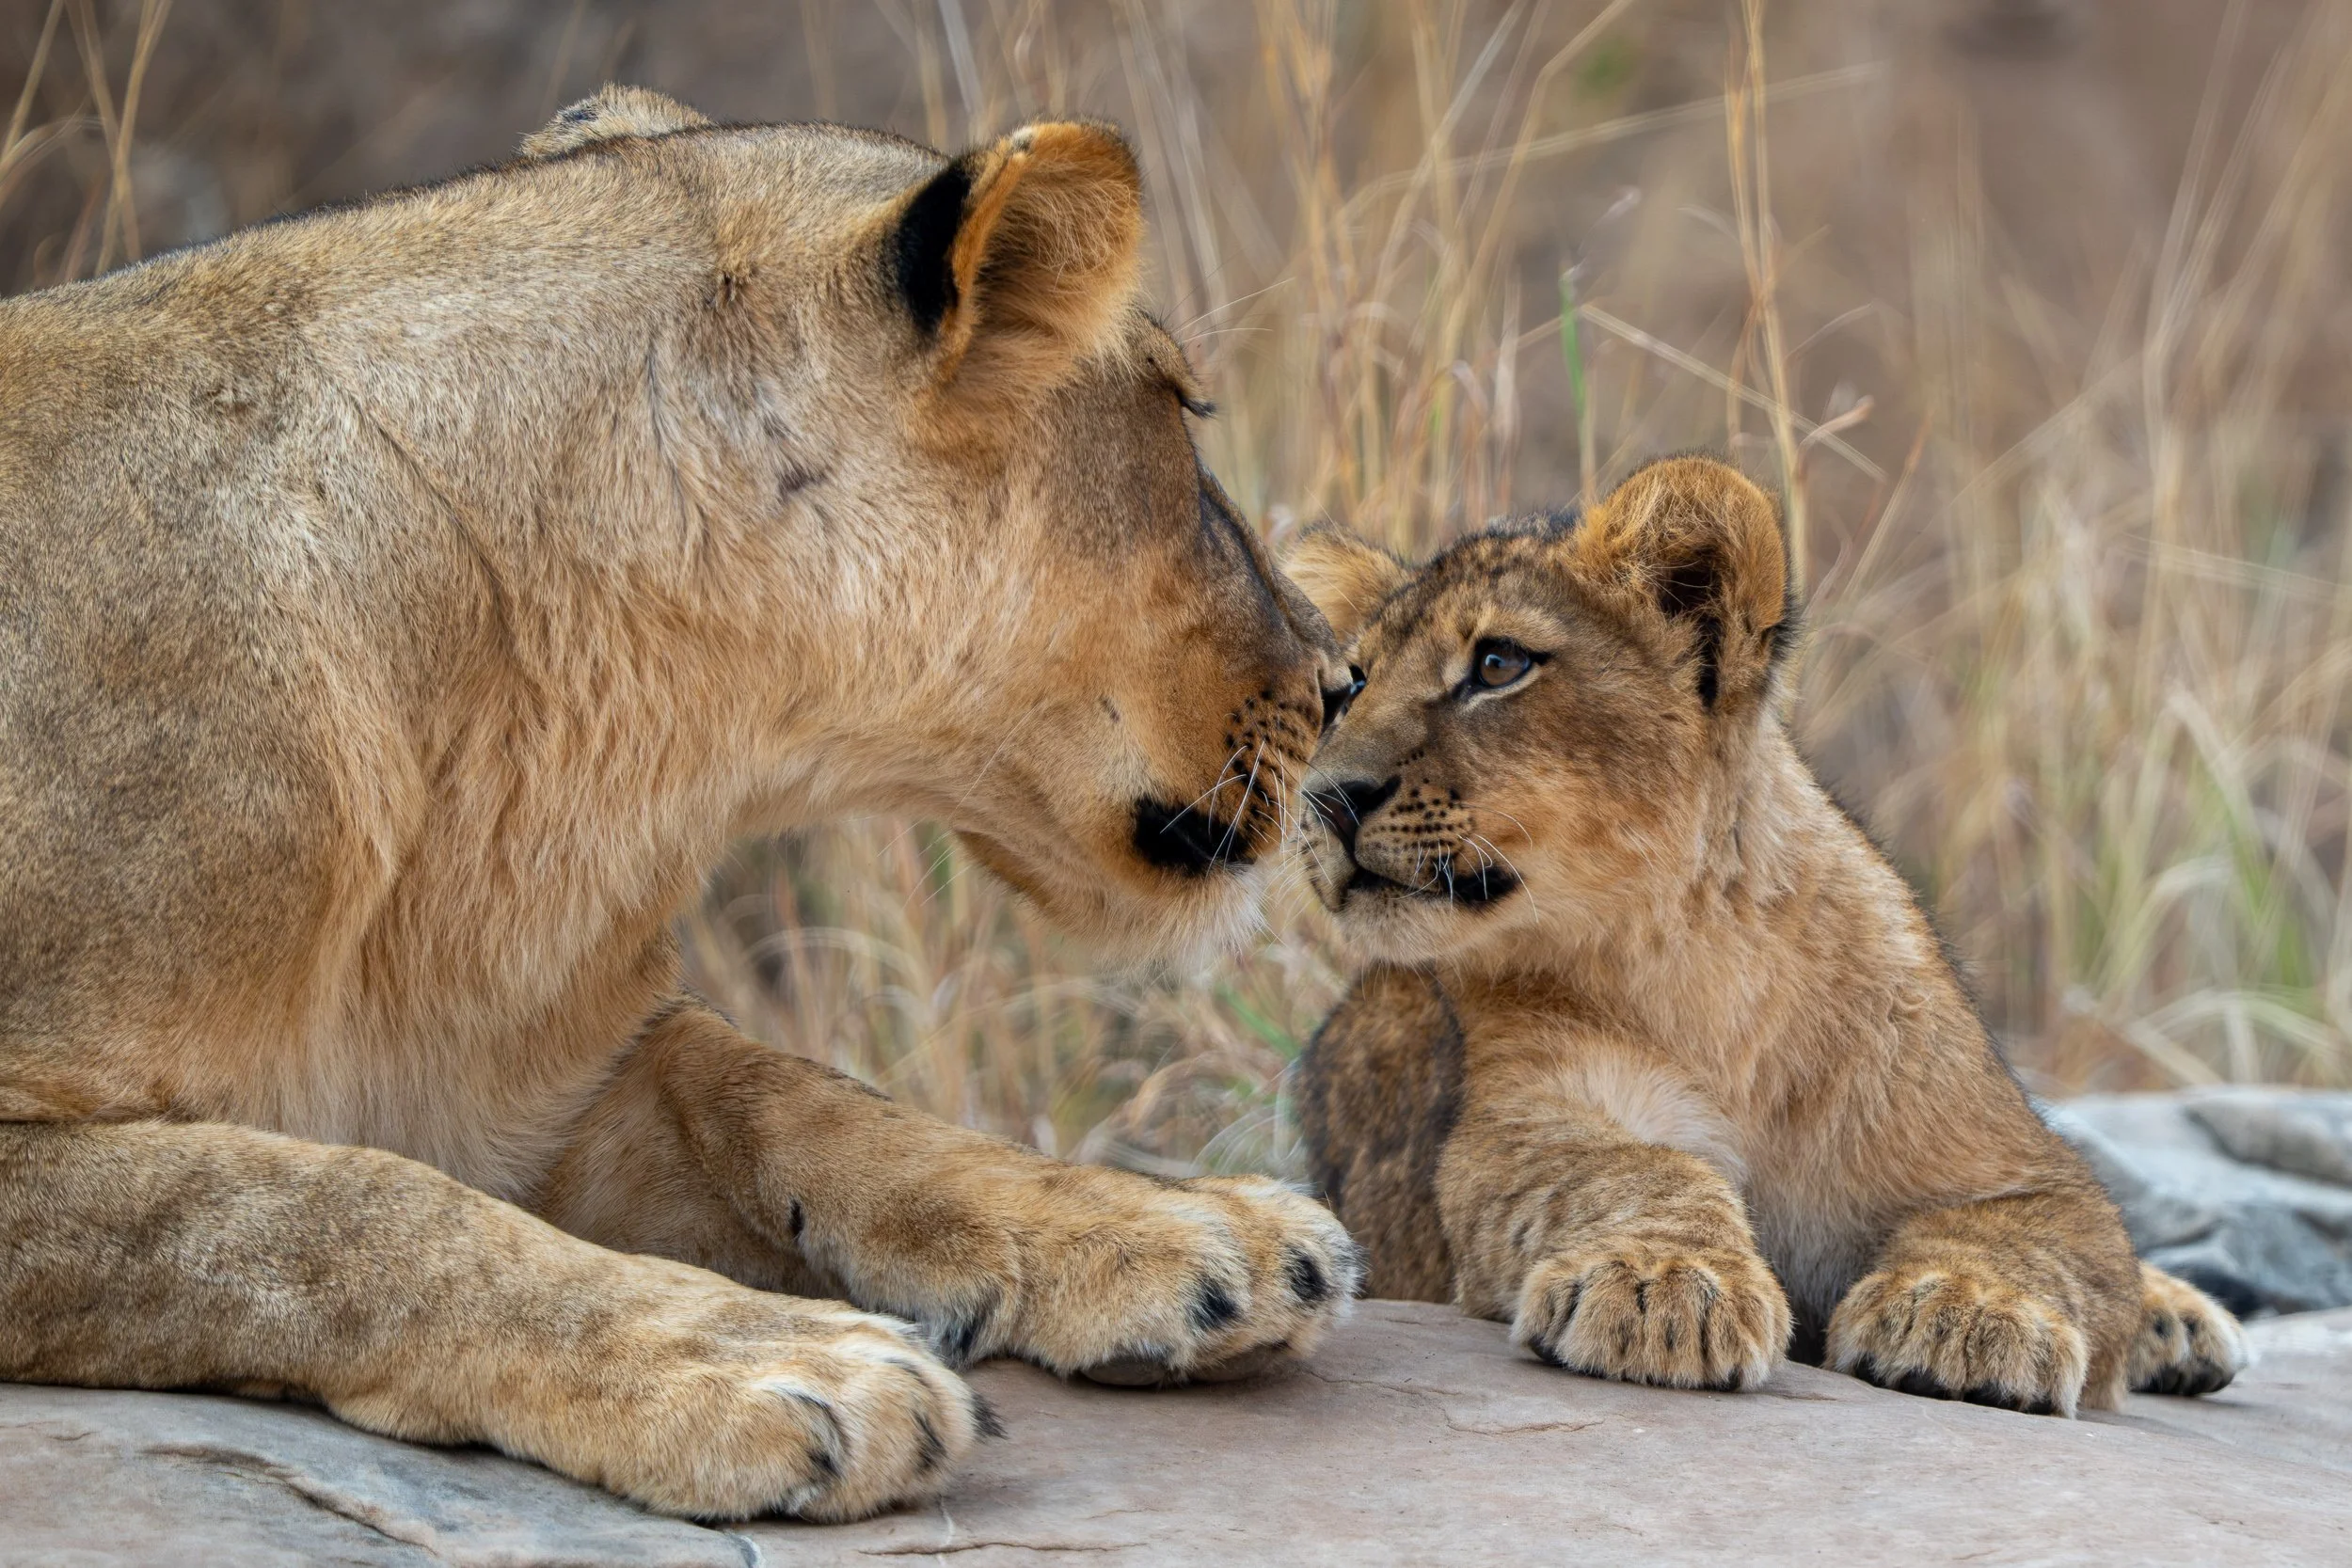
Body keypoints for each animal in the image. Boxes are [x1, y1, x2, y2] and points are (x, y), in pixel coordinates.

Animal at [0, 86, 1367, 1522]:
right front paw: (771, 1364)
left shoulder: (525, 1074)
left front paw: (1173, 1225)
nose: (1342, 678)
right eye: (1181, 403)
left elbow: (790, 1090)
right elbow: (305, 1205)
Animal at [1281, 455, 2245, 1414]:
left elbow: (2033, 1232)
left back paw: (2181, 1318)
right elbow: (1625, 1172)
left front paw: (1969, 1312)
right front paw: (1661, 1281)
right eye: (1353, 683)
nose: (1324, 797)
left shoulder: (2023, 1161)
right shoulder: (1517, 1124)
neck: (1703, 960)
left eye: (1497, 663)